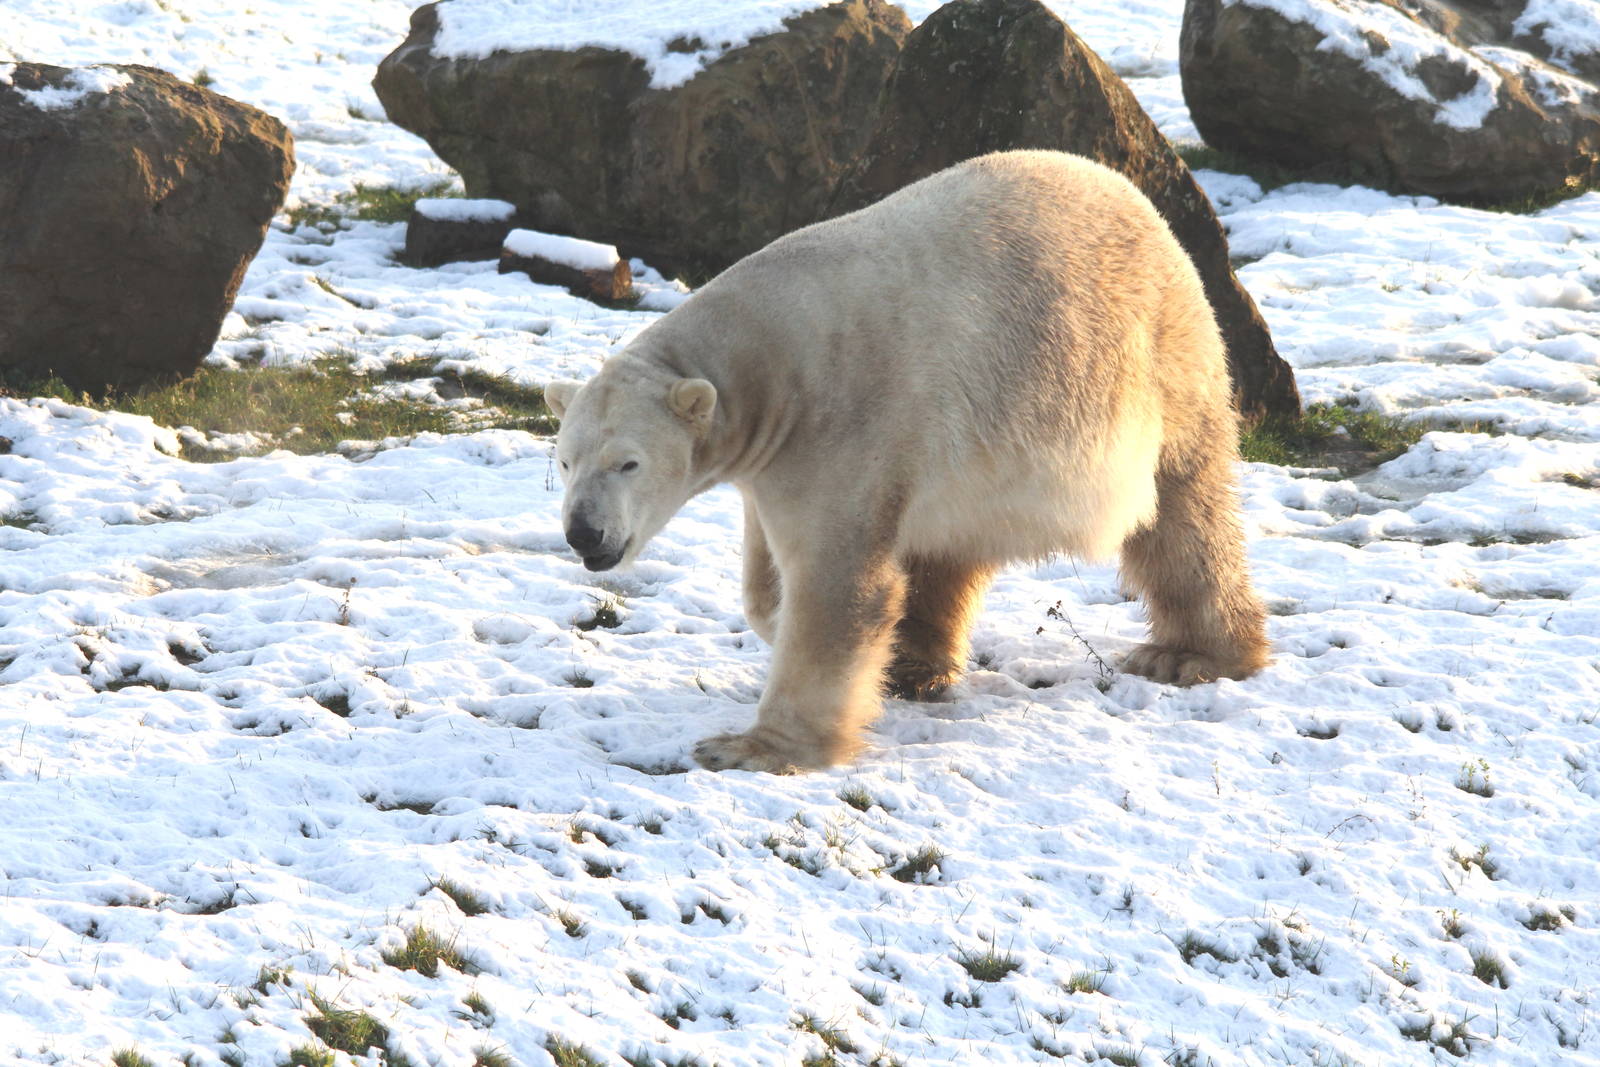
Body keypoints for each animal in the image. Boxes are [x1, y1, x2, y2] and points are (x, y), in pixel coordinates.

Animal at [544, 149, 1269, 773]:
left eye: (628, 463)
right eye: (566, 461)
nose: (583, 532)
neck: (768, 356)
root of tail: (1142, 203)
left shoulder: (841, 422)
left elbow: (835, 585)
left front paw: (752, 747)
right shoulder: (778, 456)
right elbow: (770, 583)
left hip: (1161, 363)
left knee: (1184, 511)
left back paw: (1188, 654)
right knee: (950, 545)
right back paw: (916, 665)